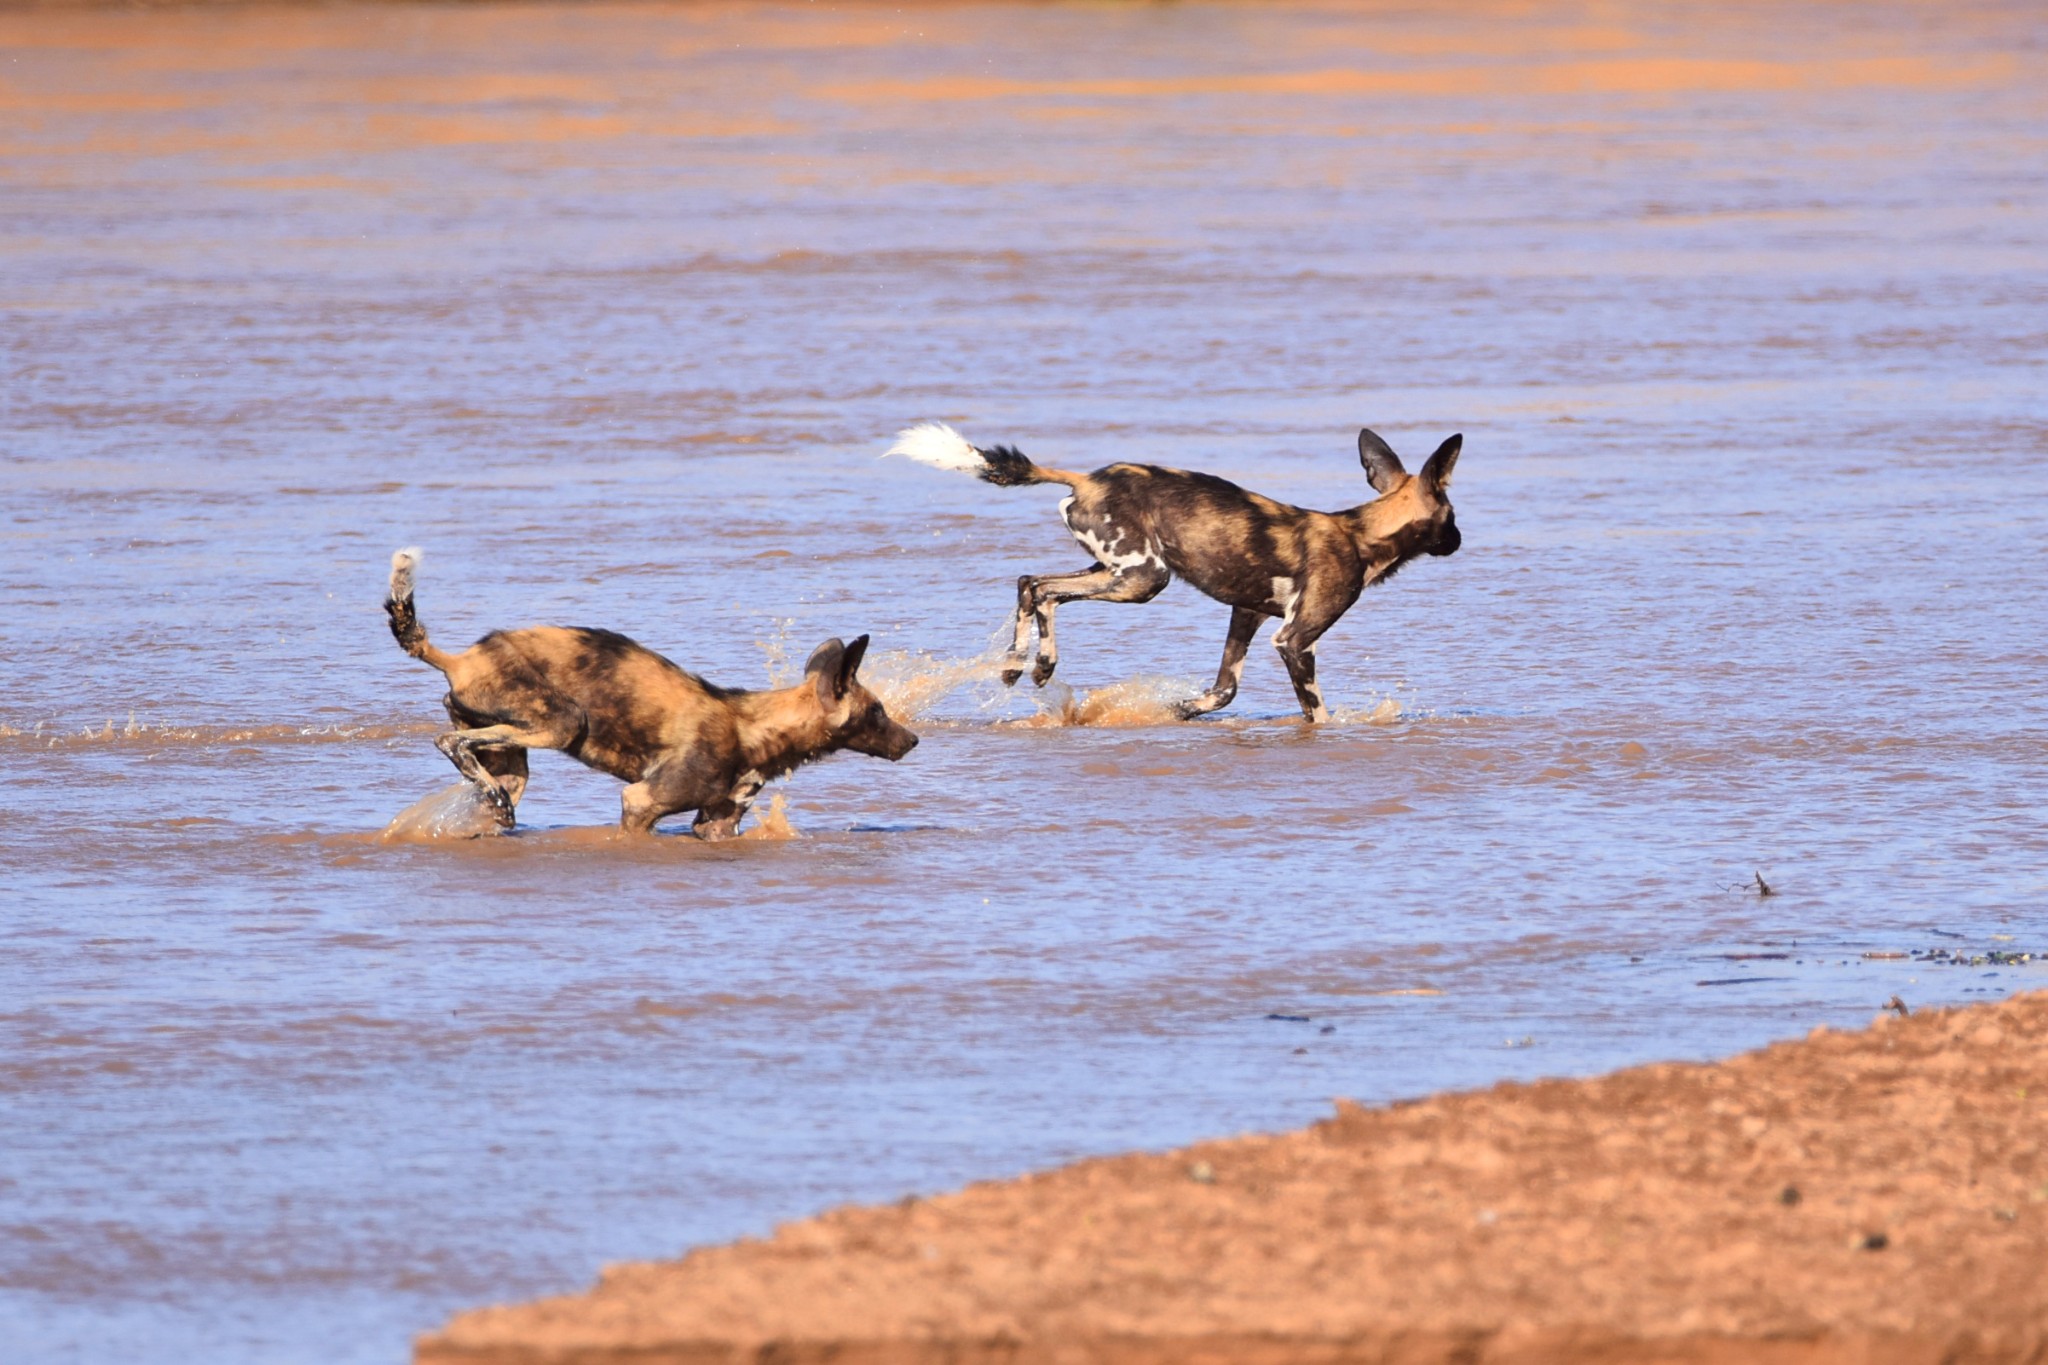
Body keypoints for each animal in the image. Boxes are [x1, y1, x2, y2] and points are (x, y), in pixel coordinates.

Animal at [378, 548, 921, 839]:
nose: (913, 740)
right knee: (451, 743)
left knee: (487, 783)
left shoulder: (716, 824)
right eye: (878, 711)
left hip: (513, 765)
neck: (757, 730)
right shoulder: (640, 802)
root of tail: (461, 657)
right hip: (561, 724)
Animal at [880, 423, 1458, 724]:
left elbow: (1223, 690)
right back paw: (1038, 664)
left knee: (1029, 584)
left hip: (1114, 569)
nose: (1458, 541)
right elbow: (1316, 711)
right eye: (1452, 516)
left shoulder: (1246, 614)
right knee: (1043, 589)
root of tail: (1087, 478)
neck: (1361, 534)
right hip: (1142, 582)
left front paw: (1178, 710)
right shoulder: (1294, 640)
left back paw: (1019, 667)